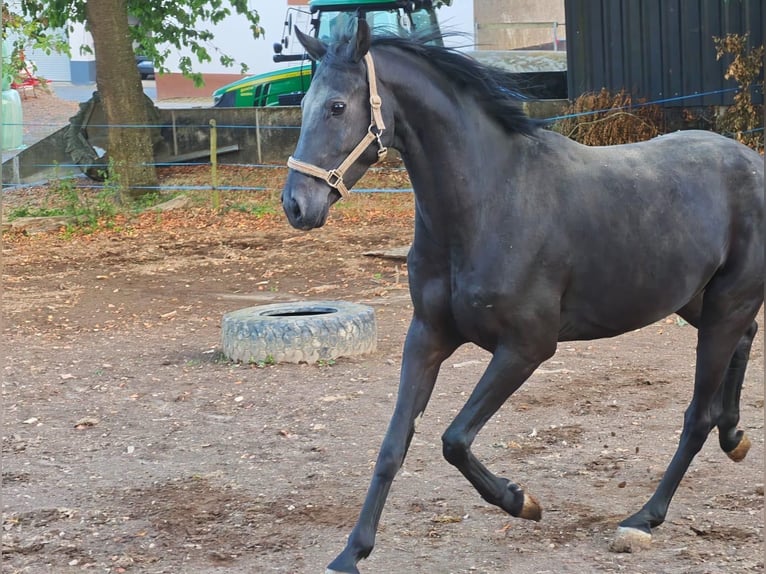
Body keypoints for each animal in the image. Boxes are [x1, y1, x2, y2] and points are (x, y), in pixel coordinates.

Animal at [280, 19, 764, 574]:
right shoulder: (426, 338)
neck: (489, 202)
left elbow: (454, 440)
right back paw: (735, 437)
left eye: (338, 106)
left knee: (696, 416)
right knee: (745, 341)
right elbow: (392, 446)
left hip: (724, 306)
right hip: (696, 300)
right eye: (304, 104)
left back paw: (645, 516)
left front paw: (522, 501)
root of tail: (753, 161)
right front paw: (350, 553)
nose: (296, 204)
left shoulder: (526, 348)